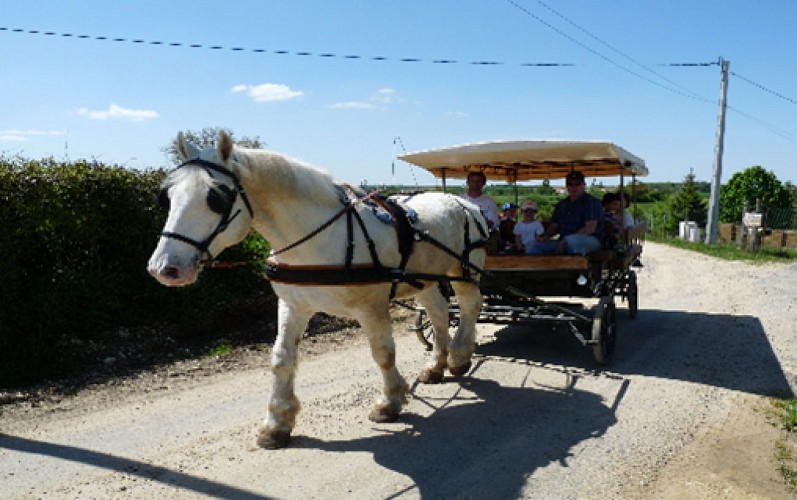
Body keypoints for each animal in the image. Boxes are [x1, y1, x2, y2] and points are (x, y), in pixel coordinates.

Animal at [147, 132, 488, 450]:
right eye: (167, 196)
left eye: (216, 197)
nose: (164, 268)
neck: (321, 238)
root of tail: (463, 202)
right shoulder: (293, 305)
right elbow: (281, 358)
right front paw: (277, 423)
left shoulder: (372, 307)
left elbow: (383, 353)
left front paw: (389, 402)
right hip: (424, 279)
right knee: (439, 313)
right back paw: (436, 366)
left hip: (463, 272)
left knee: (470, 305)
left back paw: (459, 357)